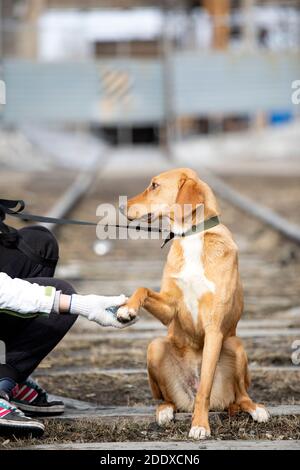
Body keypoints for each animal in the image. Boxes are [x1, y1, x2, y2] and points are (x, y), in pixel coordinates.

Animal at [118, 169, 270, 440]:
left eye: (154, 185)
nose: (121, 206)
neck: (192, 237)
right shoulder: (169, 308)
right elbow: (142, 289)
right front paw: (127, 309)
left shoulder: (214, 329)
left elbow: (205, 389)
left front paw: (200, 425)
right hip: (155, 347)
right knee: (167, 400)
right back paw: (165, 412)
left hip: (235, 345)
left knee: (240, 396)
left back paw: (257, 409)